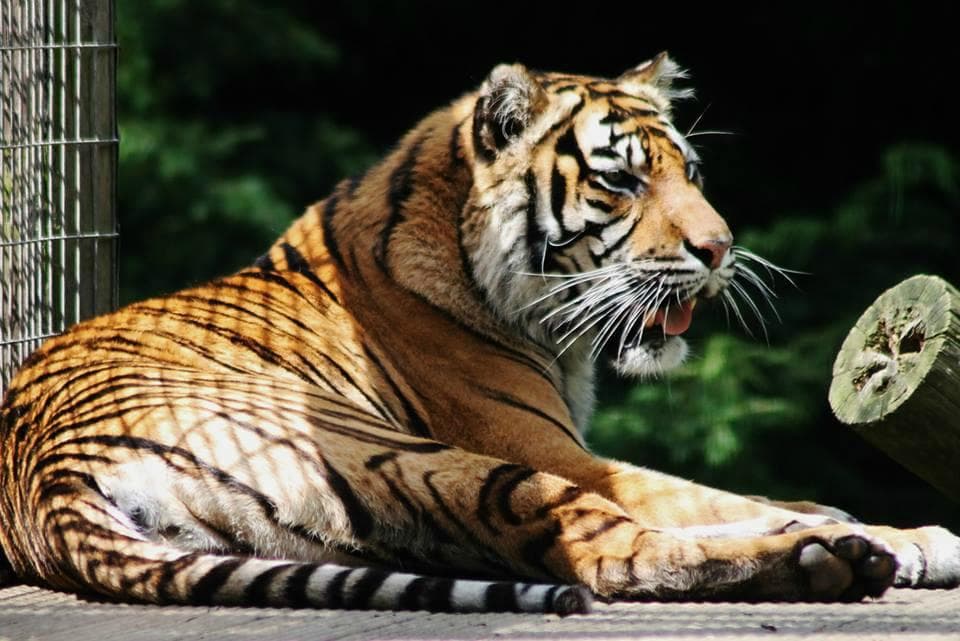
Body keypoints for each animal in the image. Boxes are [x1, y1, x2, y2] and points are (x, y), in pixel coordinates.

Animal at [1, 53, 958, 616]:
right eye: (622, 182)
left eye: (690, 171)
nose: (721, 248)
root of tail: (42, 484)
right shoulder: (557, 450)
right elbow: (699, 495)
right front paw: (903, 534)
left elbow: (739, 494)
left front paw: (853, 518)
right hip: (424, 457)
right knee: (611, 553)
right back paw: (832, 558)